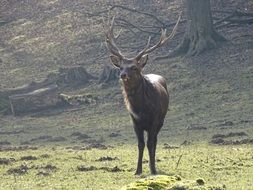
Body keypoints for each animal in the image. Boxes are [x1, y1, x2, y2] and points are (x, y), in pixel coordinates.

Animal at [104, 15, 180, 175]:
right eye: (120, 67)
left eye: (134, 67)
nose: (122, 75)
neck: (141, 109)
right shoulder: (134, 121)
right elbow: (140, 144)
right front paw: (137, 170)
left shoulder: (154, 120)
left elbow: (150, 143)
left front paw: (153, 169)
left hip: (162, 120)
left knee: (155, 141)